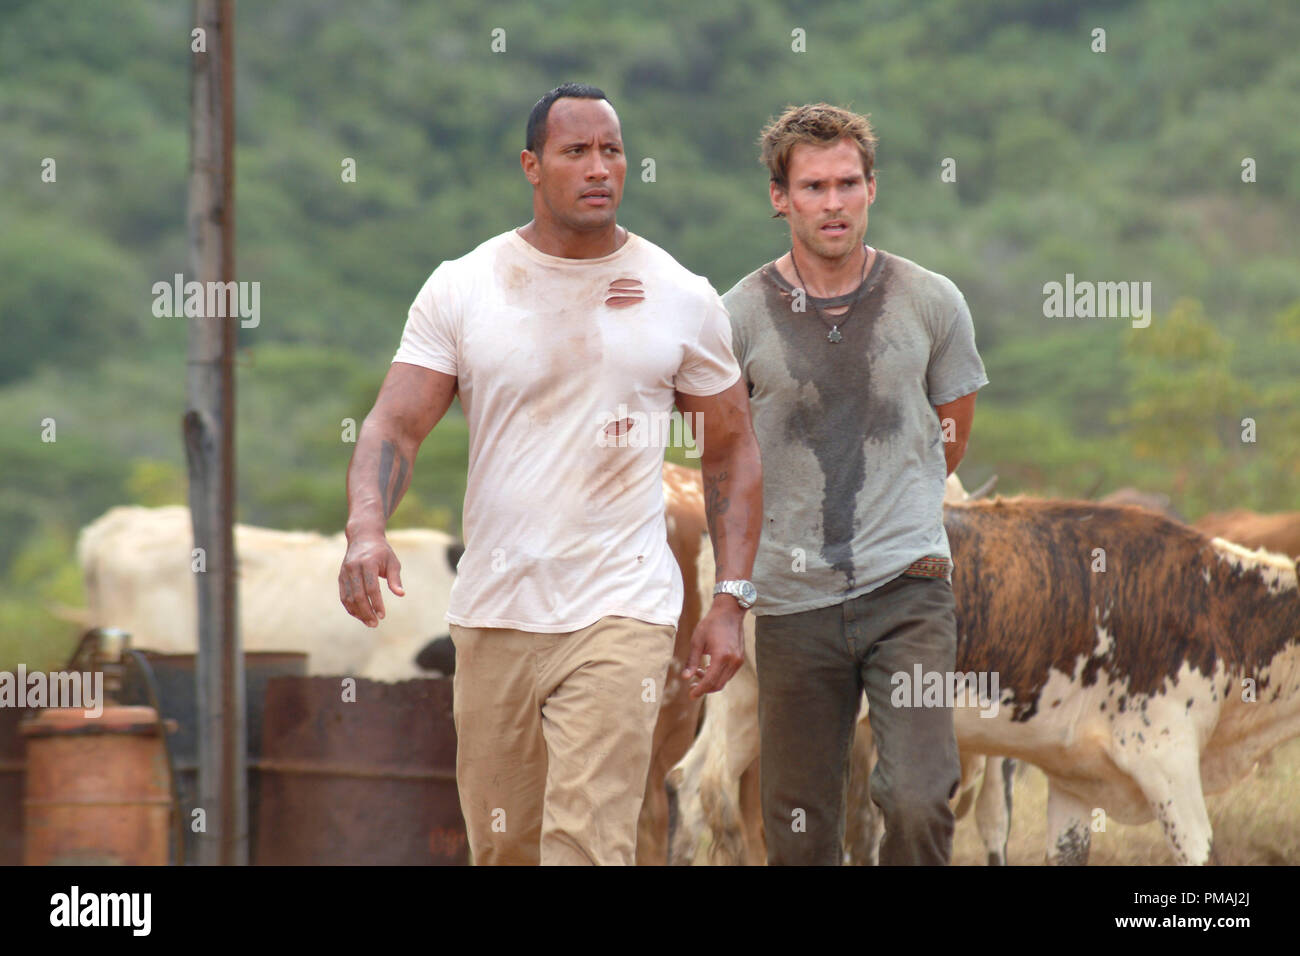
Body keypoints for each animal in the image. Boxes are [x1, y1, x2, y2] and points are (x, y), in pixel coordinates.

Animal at [670, 494, 1300, 868]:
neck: (1219, 603)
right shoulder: (1166, 758)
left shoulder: (1075, 778)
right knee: (723, 793)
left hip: (744, 697)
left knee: (693, 783)